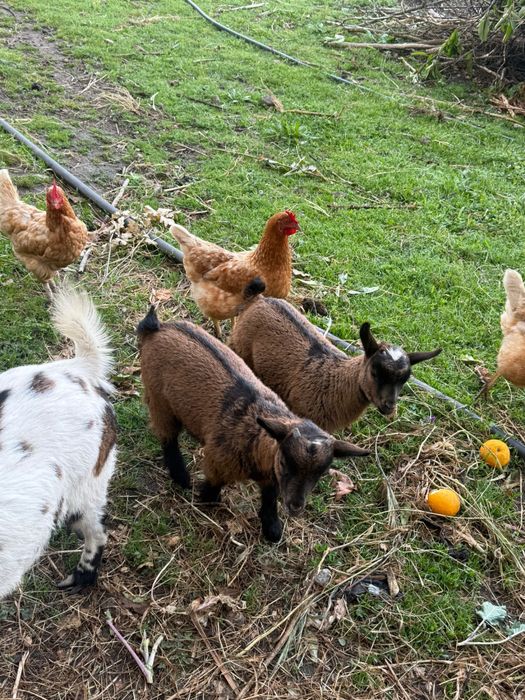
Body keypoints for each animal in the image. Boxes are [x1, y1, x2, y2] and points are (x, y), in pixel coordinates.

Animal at [137, 307, 369, 542]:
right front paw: (207, 499)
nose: (295, 507)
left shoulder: (271, 476)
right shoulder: (217, 462)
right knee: (168, 437)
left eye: (322, 472)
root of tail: (158, 327)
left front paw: (272, 528)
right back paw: (181, 477)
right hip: (158, 398)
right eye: (284, 461)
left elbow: (269, 497)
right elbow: (213, 485)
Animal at [229, 297, 442, 433]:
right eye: (374, 372)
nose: (389, 406)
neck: (334, 379)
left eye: (405, 380)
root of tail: (260, 300)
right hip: (240, 348)